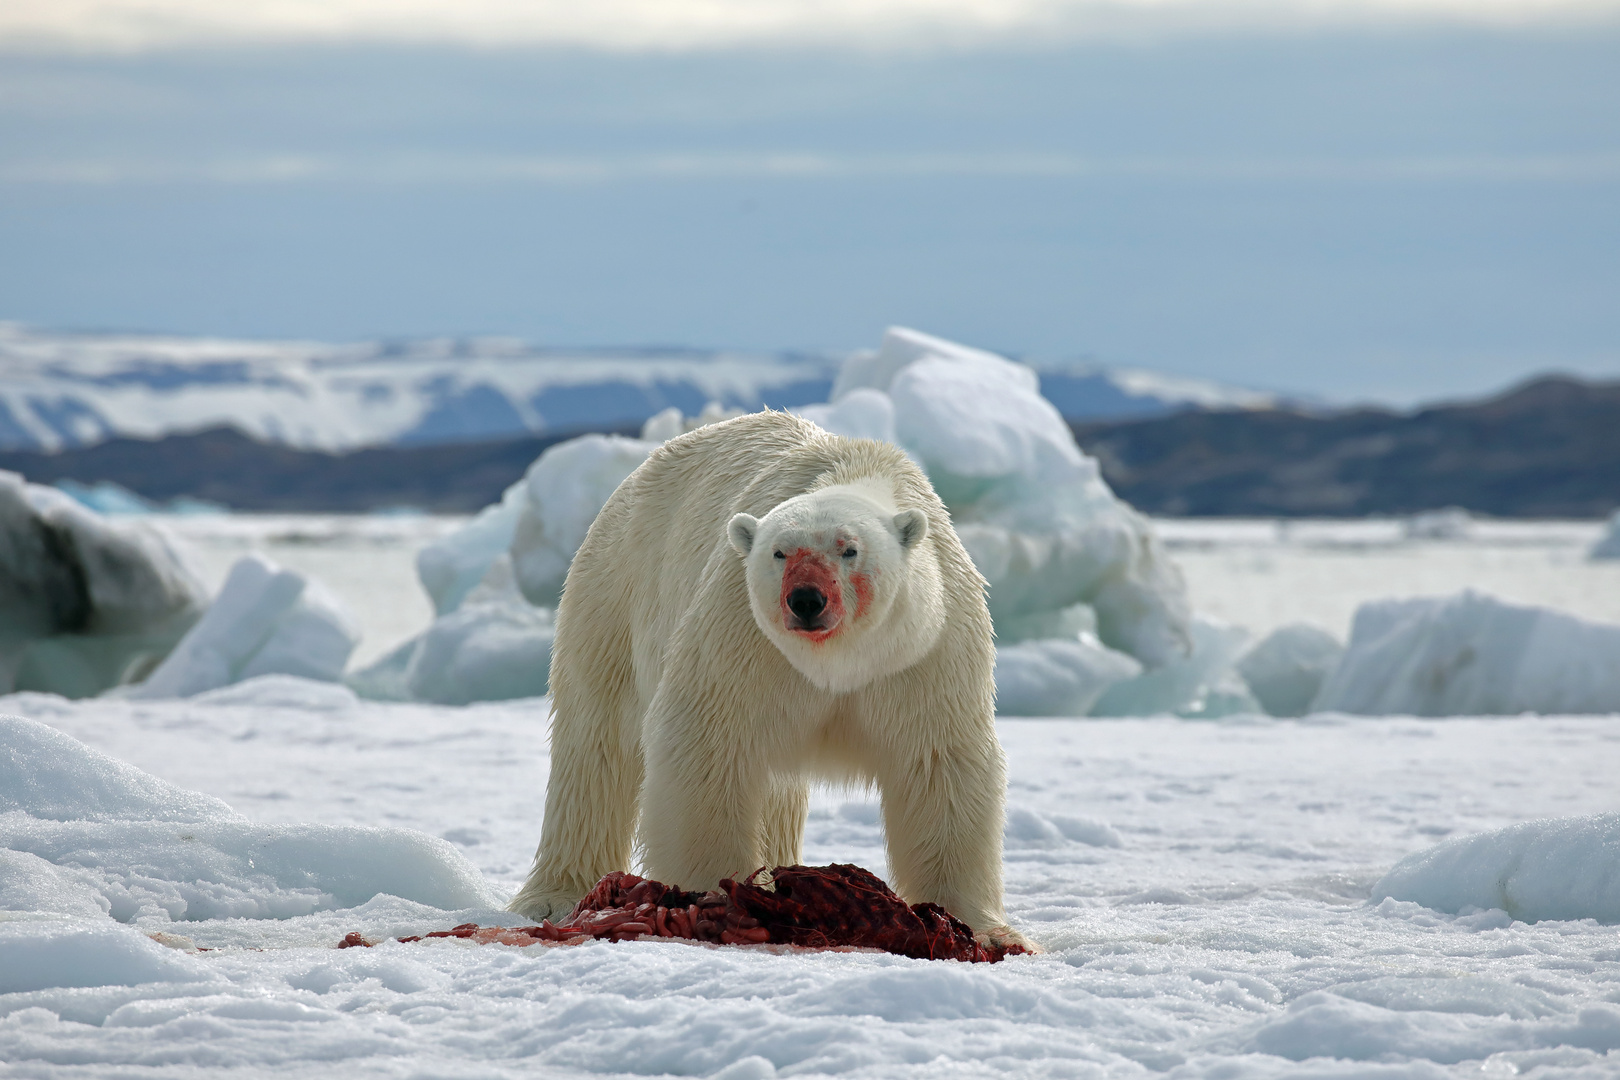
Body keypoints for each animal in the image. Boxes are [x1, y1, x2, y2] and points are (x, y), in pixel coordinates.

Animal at [511, 411, 1023, 945]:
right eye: (779, 553)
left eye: (849, 550)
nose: (806, 599)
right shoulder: (741, 633)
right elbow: (707, 741)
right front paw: (713, 897)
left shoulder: (925, 651)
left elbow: (939, 763)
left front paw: (982, 930)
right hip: (614, 592)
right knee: (595, 745)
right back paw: (555, 895)